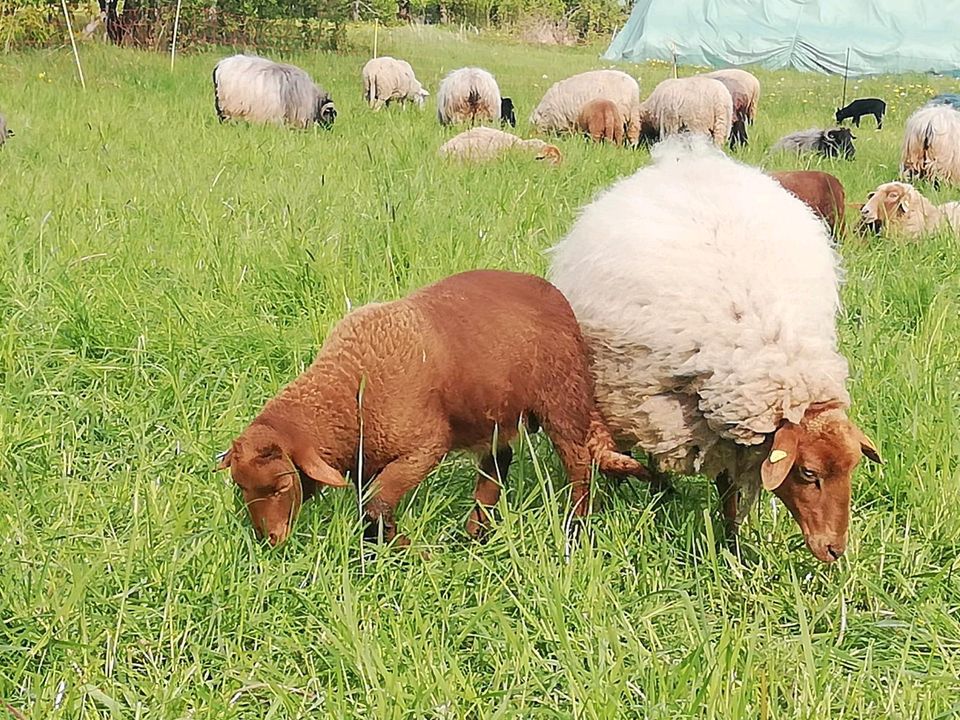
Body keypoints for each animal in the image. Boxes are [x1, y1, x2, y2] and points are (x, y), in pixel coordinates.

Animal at [219, 268, 652, 544]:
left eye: (281, 485)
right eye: (241, 487)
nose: (270, 540)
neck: (345, 390)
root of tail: (551, 291)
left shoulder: (424, 447)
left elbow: (377, 504)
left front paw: (407, 552)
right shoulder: (366, 459)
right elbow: (370, 507)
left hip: (561, 399)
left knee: (578, 464)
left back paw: (575, 526)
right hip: (493, 414)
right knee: (497, 464)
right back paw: (476, 532)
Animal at [544, 135, 880, 564]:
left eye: (853, 468)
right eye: (808, 473)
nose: (835, 549)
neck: (767, 349)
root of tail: (690, 158)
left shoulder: (727, 430)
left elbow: (729, 494)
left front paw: (733, 547)